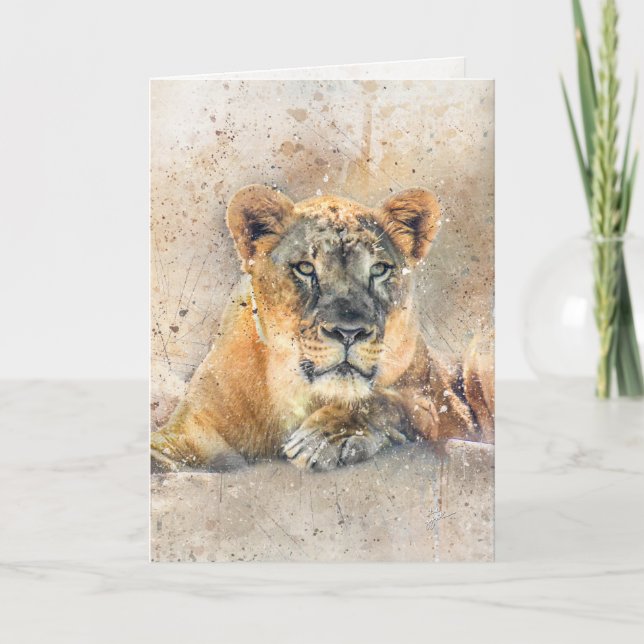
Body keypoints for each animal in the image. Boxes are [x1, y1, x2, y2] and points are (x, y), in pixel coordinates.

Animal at [151, 184, 493, 472]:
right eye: (305, 268)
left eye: (379, 269)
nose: (348, 333)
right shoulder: (192, 430)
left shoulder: (441, 408)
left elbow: (387, 402)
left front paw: (324, 438)